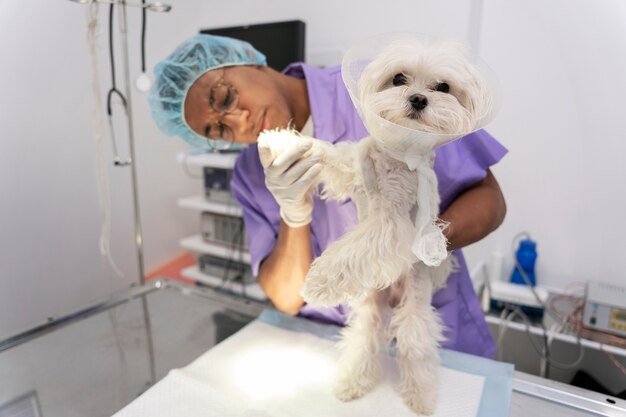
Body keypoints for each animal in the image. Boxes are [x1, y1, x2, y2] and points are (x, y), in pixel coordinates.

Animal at [256, 35, 490, 412]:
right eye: (398, 78)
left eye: (442, 87)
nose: (418, 98)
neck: (397, 153)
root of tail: (392, 295)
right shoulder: (353, 163)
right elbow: (323, 152)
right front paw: (279, 143)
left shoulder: (392, 221)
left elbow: (355, 249)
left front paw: (318, 282)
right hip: (370, 306)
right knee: (365, 338)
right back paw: (352, 382)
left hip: (414, 306)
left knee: (415, 343)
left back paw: (421, 398)